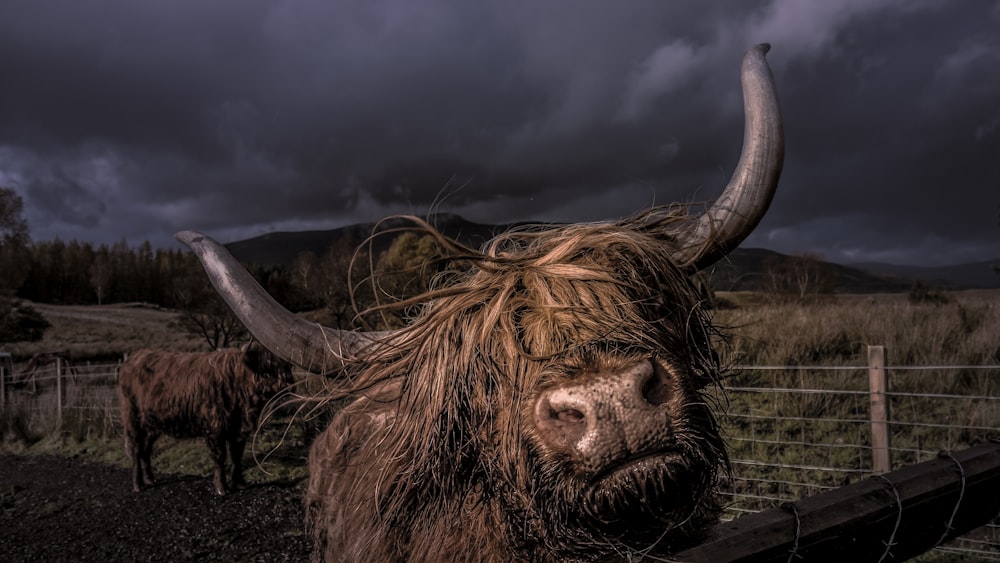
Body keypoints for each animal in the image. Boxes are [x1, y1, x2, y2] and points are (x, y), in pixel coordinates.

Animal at [118, 342, 292, 496]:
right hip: (133, 418)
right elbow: (220, 456)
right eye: (268, 366)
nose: (289, 385)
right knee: (136, 449)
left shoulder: (238, 429)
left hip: (152, 425)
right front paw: (222, 488)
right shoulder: (215, 427)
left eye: (286, 366)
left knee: (146, 449)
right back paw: (138, 485)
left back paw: (150, 479)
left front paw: (240, 484)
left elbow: (237, 455)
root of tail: (135, 357)